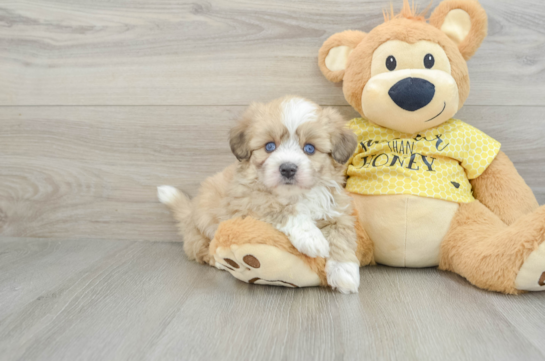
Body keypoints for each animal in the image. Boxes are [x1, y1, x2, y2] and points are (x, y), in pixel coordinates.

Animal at [158, 95, 362, 292]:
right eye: (270, 146)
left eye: (309, 148)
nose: (288, 169)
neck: (295, 195)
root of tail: (189, 213)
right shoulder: (248, 201)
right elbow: (283, 209)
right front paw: (312, 238)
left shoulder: (337, 208)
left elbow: (341, 236)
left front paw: (344, 273)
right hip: (202, 227)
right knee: (201, 249)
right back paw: (221, 262)